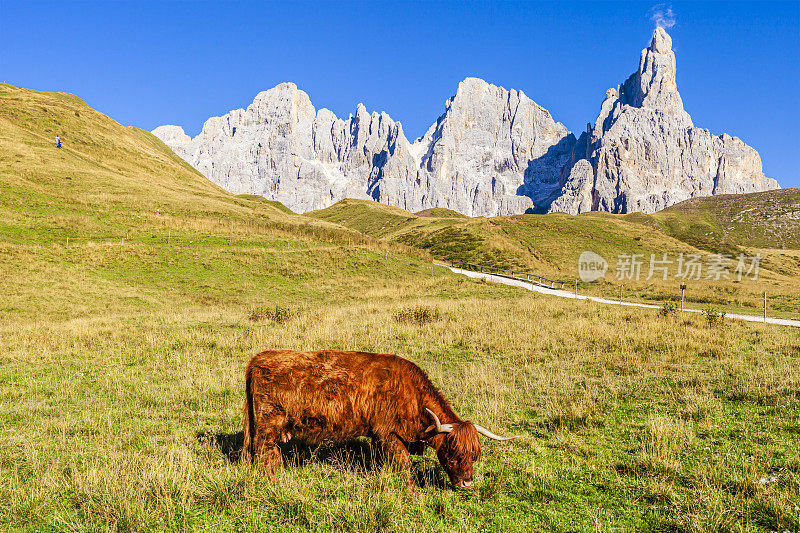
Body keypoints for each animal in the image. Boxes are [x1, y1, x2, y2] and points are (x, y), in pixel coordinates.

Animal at [241, 348, 516, 488]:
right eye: (453, 453)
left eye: (475, 455)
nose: (467, 483)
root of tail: (259, 357)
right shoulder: (389, 434)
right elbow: (404, 463)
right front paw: (410, 490)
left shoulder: (377, 436)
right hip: (269, 421)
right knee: (264, 449)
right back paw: (271, 480)